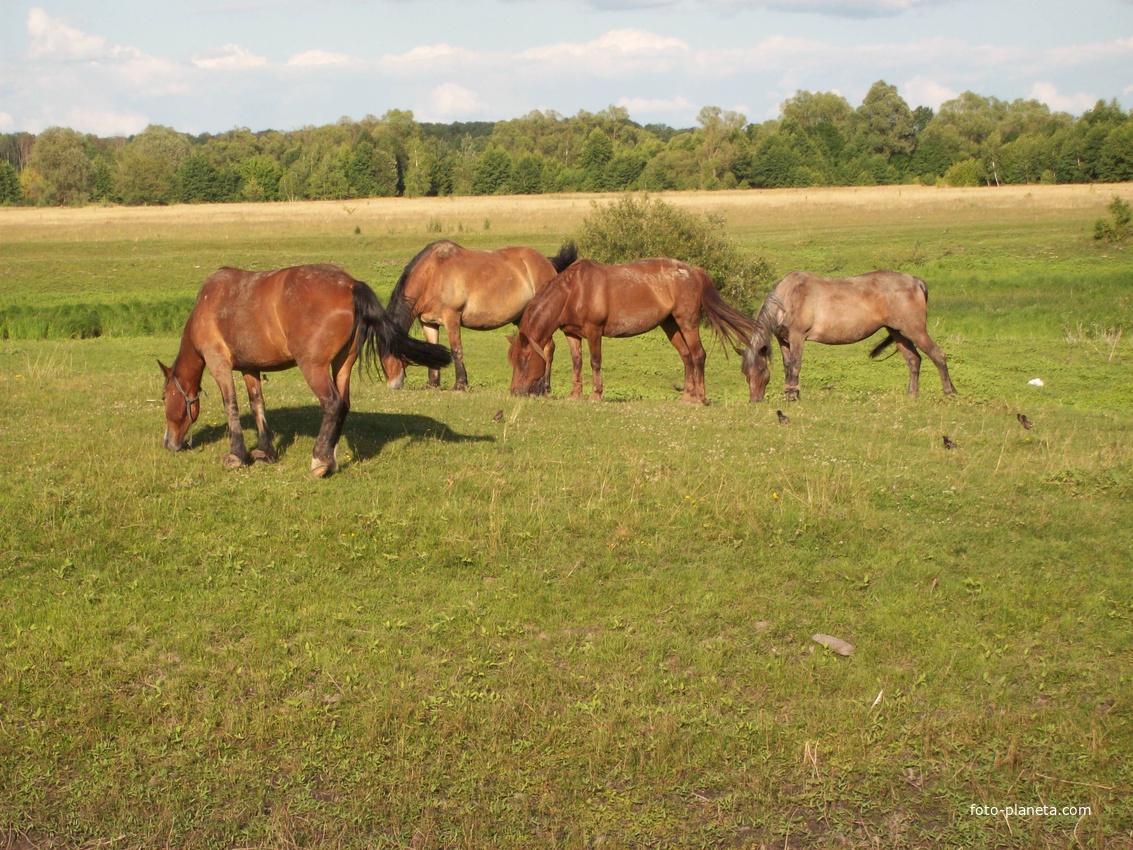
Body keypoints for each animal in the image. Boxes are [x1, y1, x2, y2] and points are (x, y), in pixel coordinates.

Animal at [159, 265, 450, 476]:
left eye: (164, 398)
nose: (168, 443)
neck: (208, 304)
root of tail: (350, 284)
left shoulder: (220, 364)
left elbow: (231, 405)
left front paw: (237, 455)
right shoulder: (250, 368)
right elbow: (257, 404)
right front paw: (265, 452)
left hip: (314, 368)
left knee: (332, 404)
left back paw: (319, 461)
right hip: (341, 365)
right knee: (343, 405)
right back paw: (330, 459)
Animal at [382, 240, 580, 392]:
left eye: (394, 353)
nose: (393, 386)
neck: (433, 273)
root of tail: (547, 262)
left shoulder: (451, 317)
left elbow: (457, 350)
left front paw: (460, 384)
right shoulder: (429, 323)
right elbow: (433, 348)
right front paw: (432, 384)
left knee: (548, 349)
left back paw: (544, 387)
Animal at [509, 258, 756, 403]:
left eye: (524, 361)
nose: (514, 392)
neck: (573, 291)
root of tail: (693, 272)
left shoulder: (594, 331)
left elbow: (595, 362)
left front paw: (596, 395)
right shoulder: (572, 333)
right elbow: (577, 362)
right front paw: (574, 395)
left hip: (687, 323)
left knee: (698, 355)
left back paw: (700, 398)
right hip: (671, 326)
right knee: (686, 357)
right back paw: (687, 396)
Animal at [743, 273, 956, 405]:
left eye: (761, 370)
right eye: (745, 373)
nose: (754, 400)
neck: (788, 297)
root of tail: (916, 281)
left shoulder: (798, 336)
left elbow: (795, 366)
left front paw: (793, 397)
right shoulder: (784, 340)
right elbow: (788, 367)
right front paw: (789, 395)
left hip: (914, 330)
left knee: (937, 355)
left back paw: (950, 392)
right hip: (898, 333)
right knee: (914, 360)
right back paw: (912, 395)